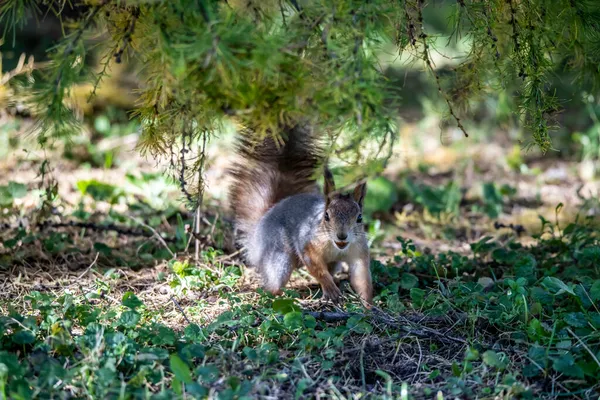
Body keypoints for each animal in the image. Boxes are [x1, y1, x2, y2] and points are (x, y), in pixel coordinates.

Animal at [229, 125, 372, 306]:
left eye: (359, 218)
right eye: (326, 216)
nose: (342, 236)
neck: (336, 246)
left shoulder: (359, 253)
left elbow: (362, 278)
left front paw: (368, 304)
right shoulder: (308, 244)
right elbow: (316, 267)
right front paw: (330, 289)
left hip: (333, 263)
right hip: (278, 256)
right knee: (271, 287)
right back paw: (291, 297)